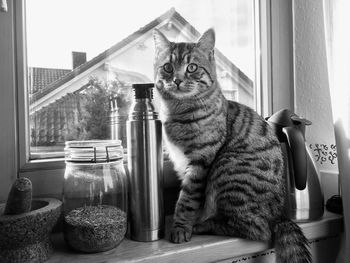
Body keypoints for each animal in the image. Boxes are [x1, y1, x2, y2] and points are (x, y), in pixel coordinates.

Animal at [153, 28, 312, 263]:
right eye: (167, 67)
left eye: (191, 67)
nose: (177, 80)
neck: (177, 111)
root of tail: (279, 217)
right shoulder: (182, 163)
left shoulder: (201, 160)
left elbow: (187, 198)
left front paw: (181, 226)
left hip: (228, 170)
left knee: (257, 229)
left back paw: (203, 225)